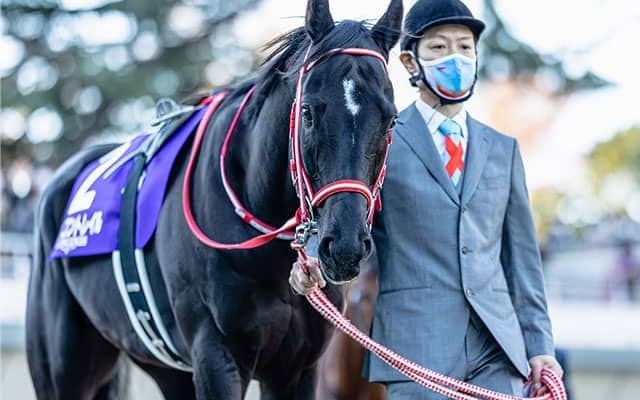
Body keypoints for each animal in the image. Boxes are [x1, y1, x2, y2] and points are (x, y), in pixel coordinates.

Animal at [26, 0, 403, 398]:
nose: (344, 246)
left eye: (391, 120)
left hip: (167, 371)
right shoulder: (216, 357)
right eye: (308, 113)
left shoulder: (298, 369)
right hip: (64, 371)